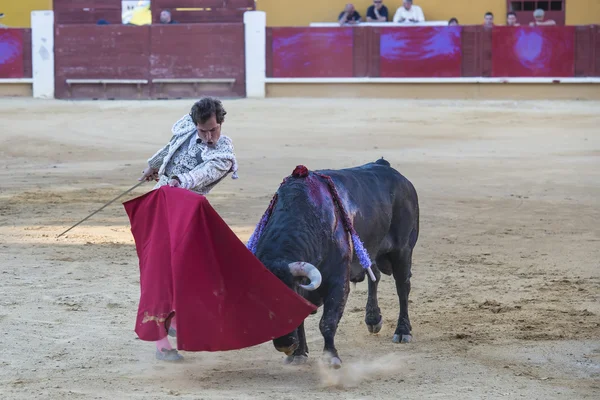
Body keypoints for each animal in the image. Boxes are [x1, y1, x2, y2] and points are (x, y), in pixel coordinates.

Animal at [252, 158, 418, 368]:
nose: (285, 345)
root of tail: (385, 165)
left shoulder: (338, 282)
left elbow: (327, 321)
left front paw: (331, 357)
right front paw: (299, 353)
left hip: (403, 251)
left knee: (402, 287)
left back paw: (402, 331)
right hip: (370, 250)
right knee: (375, 275)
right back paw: (373, 319)